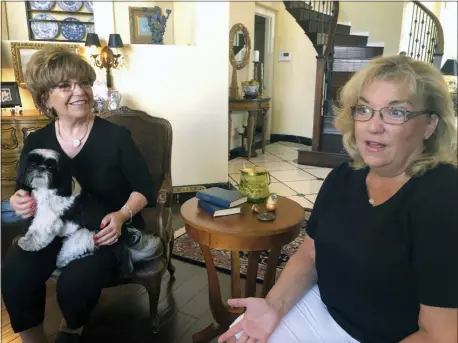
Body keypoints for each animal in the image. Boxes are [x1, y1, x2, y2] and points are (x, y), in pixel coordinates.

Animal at [17, 148, 162, 274]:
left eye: (51, 167)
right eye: (33, 164)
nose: (41, 168)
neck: (53, 187)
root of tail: (123, 237)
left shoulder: (48, 216)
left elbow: (38, 231)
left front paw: (26, 243)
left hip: (85, 236)